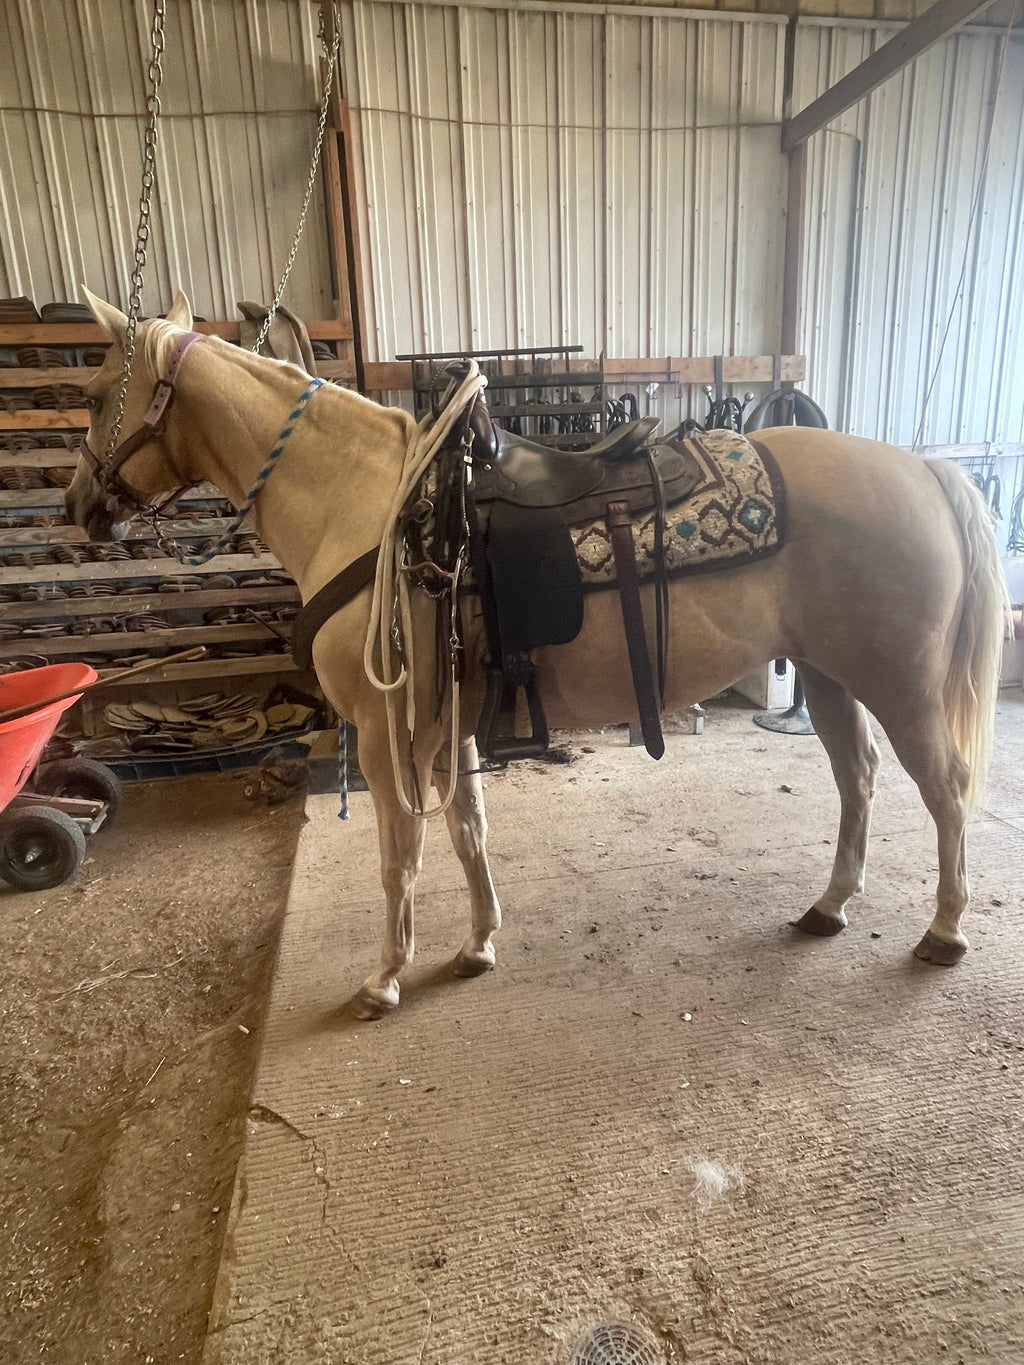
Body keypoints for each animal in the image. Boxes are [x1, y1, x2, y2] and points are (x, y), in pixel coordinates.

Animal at [65, 288, 1007, 1020]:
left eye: (98, 393)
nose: (79, 506)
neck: (366, 507)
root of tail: (925, 472)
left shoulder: (387, 735)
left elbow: (399, 854)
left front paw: (385, 977)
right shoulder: (448, 723)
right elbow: (465, 830)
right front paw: (479, 944)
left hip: (901, 685)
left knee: (948, 787)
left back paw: (945, 930)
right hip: (829, 676)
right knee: (860, 779)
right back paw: (830, 905)